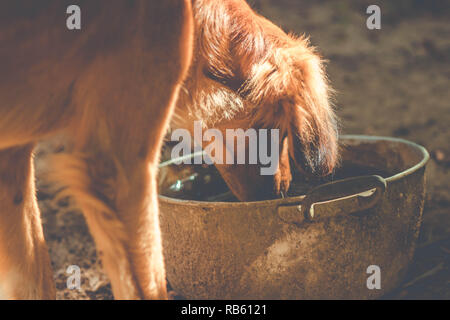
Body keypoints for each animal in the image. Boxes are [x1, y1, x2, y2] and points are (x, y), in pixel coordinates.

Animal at [0, 0, 338, 300]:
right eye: (280, 128)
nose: (285, 189)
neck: (191, 13)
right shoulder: (121, 169)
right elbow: (148, 284)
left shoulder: (11, 161)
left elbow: (37, 281)